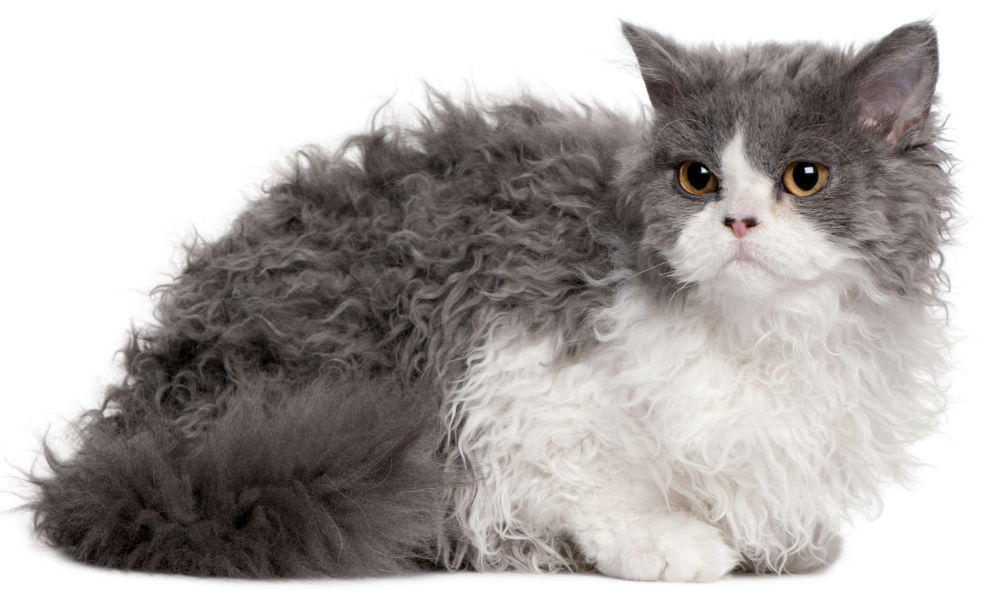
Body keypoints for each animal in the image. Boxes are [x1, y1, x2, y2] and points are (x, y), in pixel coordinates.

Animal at [35, 22, 956, 580]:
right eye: (697, 178)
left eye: (805, 177)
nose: (736, 220)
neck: (762, 331)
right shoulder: (517, 356)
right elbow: (581, 479)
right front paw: (673, 543)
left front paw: (781, 545)